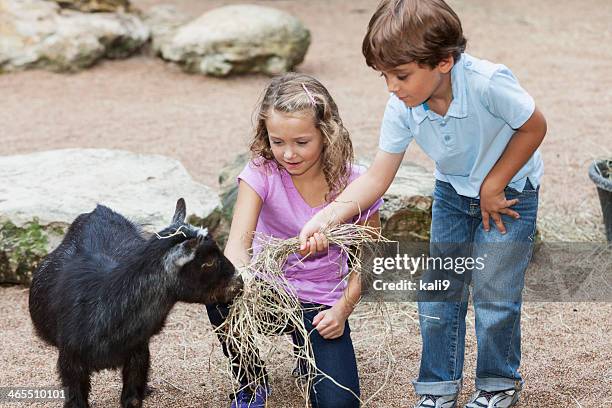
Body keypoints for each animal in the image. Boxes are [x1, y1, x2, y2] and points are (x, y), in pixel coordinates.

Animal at [28, 197, 243, 404]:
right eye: (209, 262)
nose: (239, 281)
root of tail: (98, 210)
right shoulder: (70, 362)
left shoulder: (138, 354)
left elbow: (132, 398)